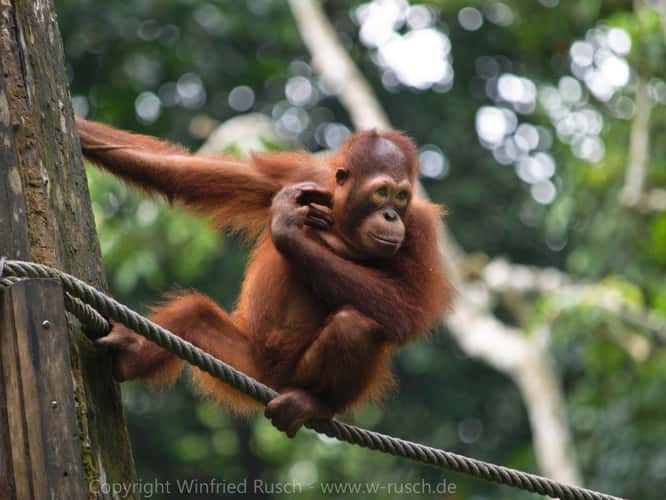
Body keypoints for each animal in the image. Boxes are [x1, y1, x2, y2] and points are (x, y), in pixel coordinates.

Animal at [76, 117, 450, 436]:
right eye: (382, 192)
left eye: (402, 197)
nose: (391, 216)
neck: (344, 223)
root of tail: (272, 382)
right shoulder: (297, 175)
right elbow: (177, 172)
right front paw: (79, 129)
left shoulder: (419, 231)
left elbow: (405, 310)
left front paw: (286, 228)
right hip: (246, 361)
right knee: (194, 314)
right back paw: (131, 353)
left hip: (293, 375)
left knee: (355, 325)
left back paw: (313, 403)